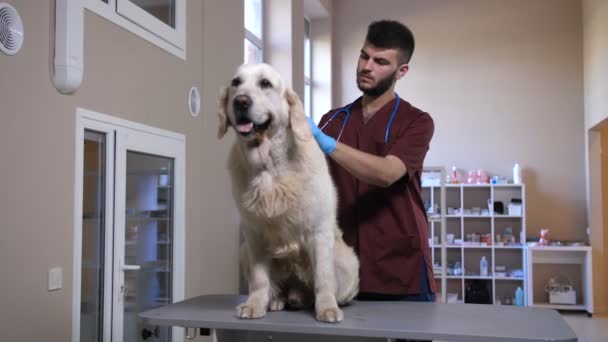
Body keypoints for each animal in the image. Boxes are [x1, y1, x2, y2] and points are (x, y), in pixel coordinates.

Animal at [217, 62, 358, 322]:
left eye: (265, 83)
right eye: (236, 83)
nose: (241, 101)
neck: (269, 166)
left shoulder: (318, 230)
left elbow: (324, 278)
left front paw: (327, 308)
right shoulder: (254, 234)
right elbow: (260, 279)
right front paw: (255, 304)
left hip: (348, 262)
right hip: (244, 251)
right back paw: (276, 300)